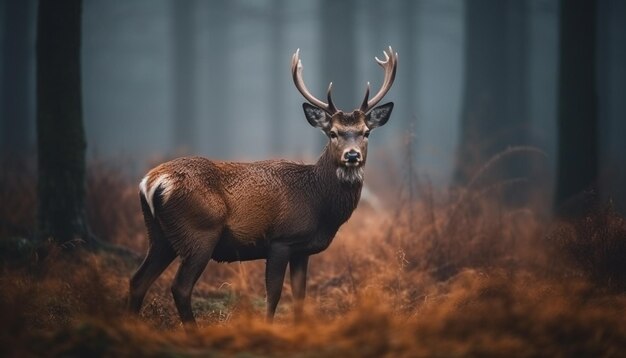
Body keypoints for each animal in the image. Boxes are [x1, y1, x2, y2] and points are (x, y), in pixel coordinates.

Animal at [129, 45, 398, 328]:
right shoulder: (281, 239)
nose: (352, 155)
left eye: (366, 132)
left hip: (159, 235)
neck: (318, 202)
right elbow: (274, 293)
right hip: (199, 232)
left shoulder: (302, 250)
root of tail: (150, 182)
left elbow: (300, 295)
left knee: (138, 280)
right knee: (180, 287)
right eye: (332, 133)